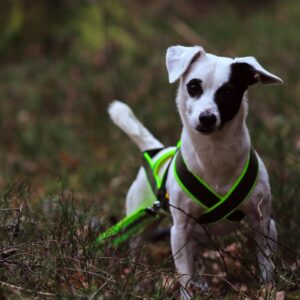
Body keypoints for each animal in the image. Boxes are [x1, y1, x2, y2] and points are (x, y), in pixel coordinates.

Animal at [108, 45, 284, 298]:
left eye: (228, 91)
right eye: (193, 86)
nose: (207, 118)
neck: (215, 156)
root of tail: (156, 151)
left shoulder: (263, 222)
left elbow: (266, 263)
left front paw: (268, 289)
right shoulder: (180, 230)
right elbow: (184, 274)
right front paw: (187, 293)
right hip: (142, 224)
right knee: (137, 247)